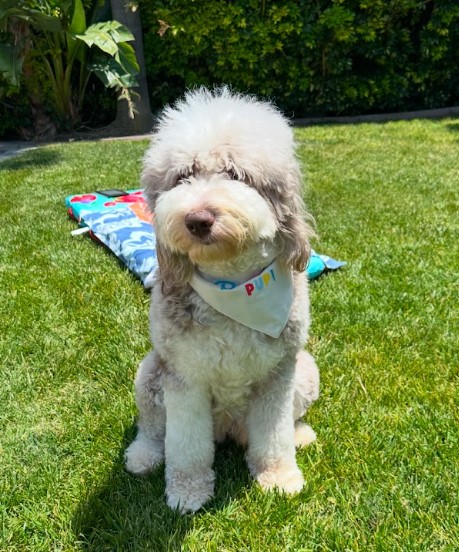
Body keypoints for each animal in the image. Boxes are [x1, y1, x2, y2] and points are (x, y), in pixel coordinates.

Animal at [125, 86, 320, 512]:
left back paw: (299, 434)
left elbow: (274, 435)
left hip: (306, 370)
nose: (198, 219)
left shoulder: (278, 372)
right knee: (152, 427)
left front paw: (279, 477)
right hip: (149, 371)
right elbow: (186, 446)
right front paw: (187, 492)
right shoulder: (184, 376)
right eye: (183, 176)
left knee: (286, 421)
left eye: (235, 174)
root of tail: (230, 429)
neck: (234, 289)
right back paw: (143, 456)